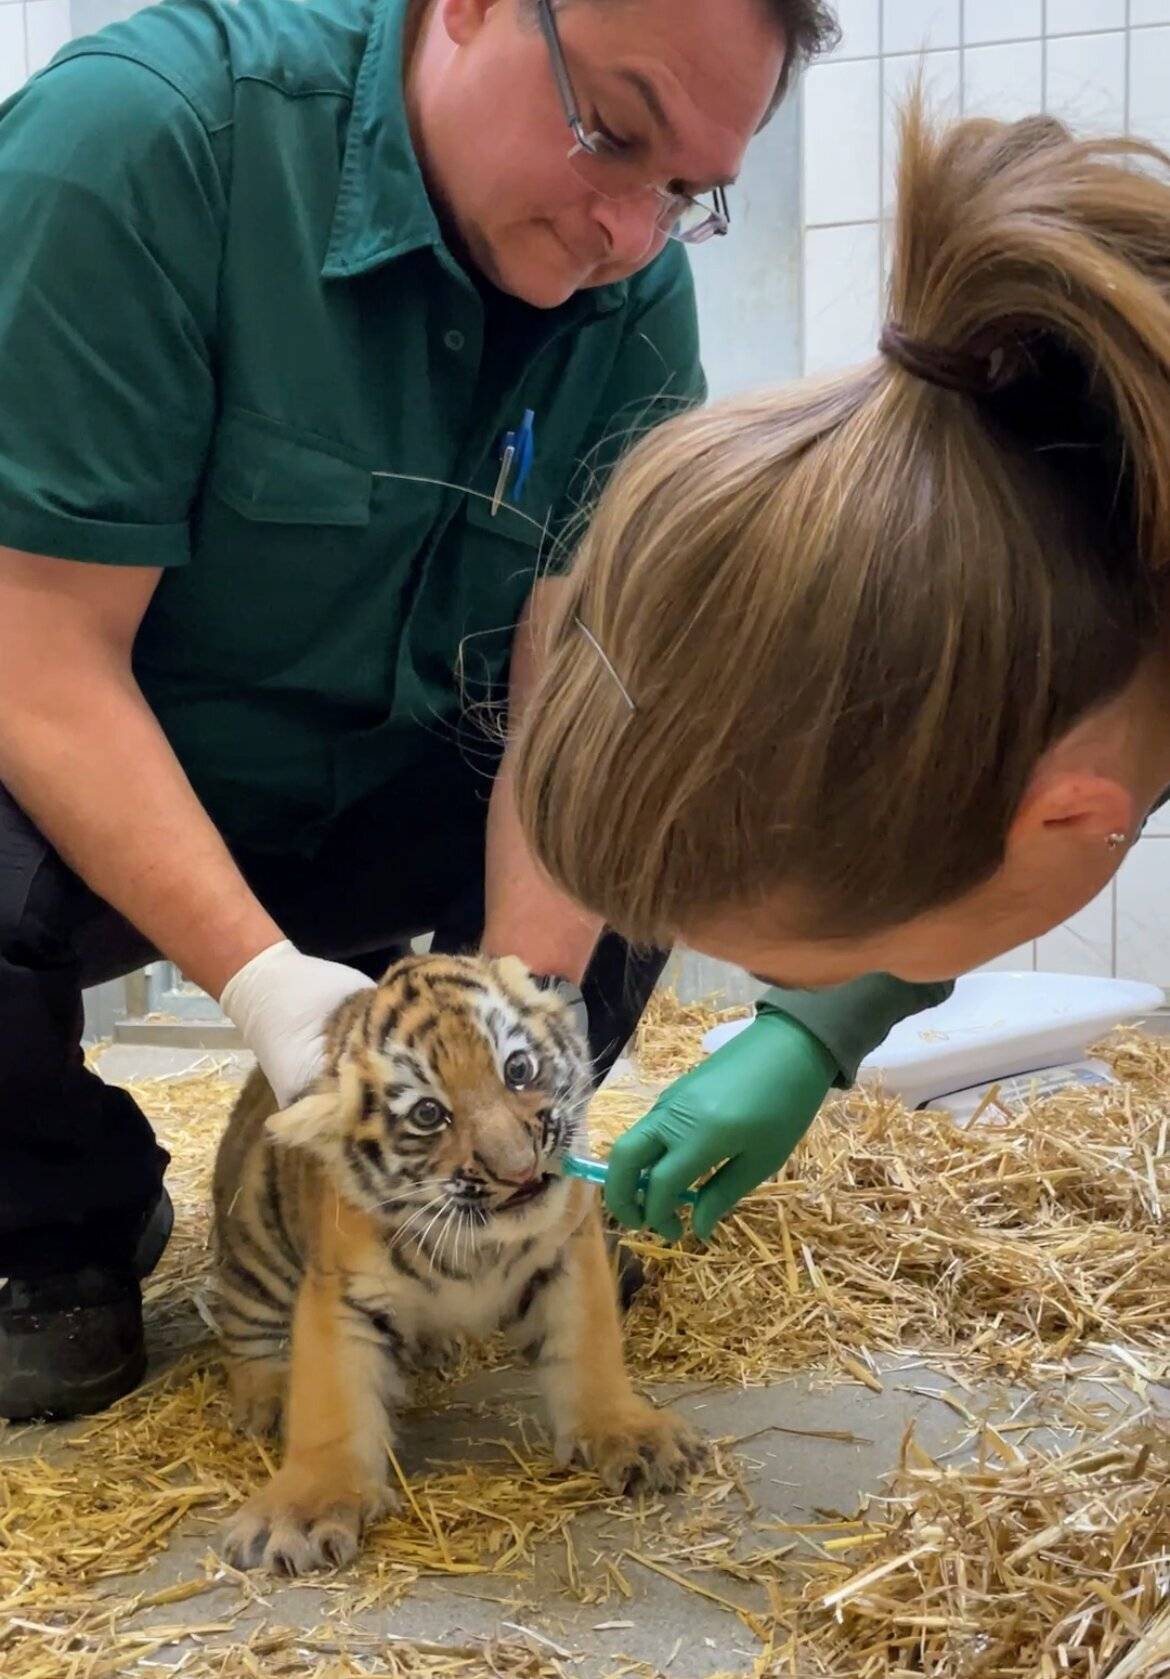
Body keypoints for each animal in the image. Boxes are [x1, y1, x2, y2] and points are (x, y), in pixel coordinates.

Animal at [210, 951, 704, 1574]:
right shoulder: (341, 1294)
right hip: (256, 1244)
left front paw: (633, 1434)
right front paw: (300, 1512)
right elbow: (330, 1405)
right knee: (245, 1330)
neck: (480, 1241)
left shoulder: (567, 1254)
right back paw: (268, 1400)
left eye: (518, 1069)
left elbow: (589, 1352)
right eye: (428, 1114)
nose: (519, 1170)